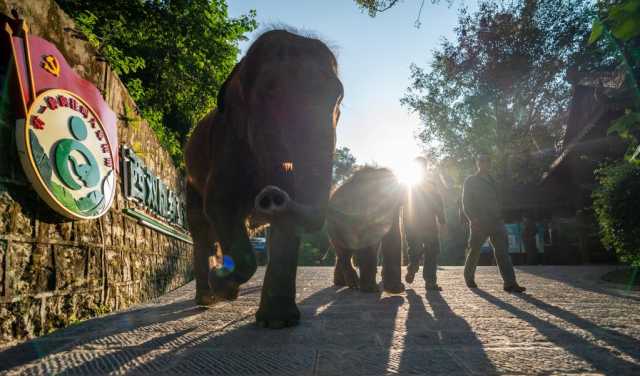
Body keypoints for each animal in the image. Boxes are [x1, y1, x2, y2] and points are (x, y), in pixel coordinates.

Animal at [184, 30, 342, 328]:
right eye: (270, 91)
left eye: (338, 97)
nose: (271, 196)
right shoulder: (227, 142)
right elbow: (220, 204)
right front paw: (220, 280)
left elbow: (288, 222)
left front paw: (278, 322)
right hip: (190, 181)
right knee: (201, 228)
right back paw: (208, 296)